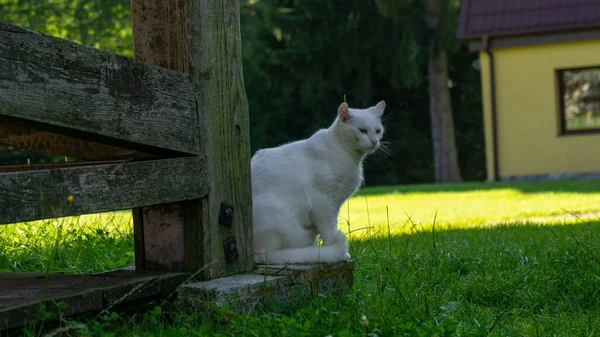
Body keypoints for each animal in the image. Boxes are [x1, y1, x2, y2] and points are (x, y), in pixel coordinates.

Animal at [252, 100, 384, 262]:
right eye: (363, 130)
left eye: (378, 131)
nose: (374, 141)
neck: (350, 156)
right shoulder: (323, 202)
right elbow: (329, 231)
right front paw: (336, 251)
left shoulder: (335, 204)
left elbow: (332, 226)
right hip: (274, 212)